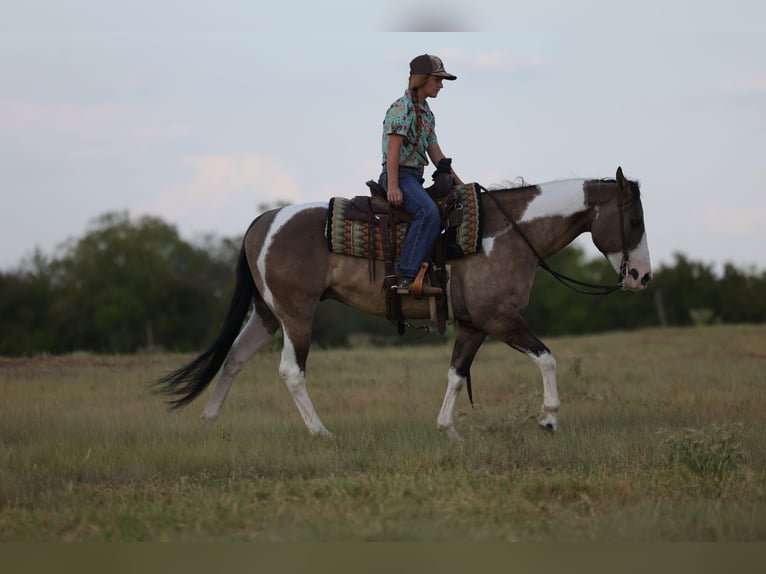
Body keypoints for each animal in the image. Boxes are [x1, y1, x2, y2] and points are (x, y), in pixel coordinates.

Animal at [157, 166, 652, 440]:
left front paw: (448, 431)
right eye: (633, 220)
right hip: (296, 312)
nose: (642, 276)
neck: (506, 234)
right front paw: (548, 421)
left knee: (233, 360)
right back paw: (321, 433)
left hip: (266, 313)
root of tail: (264, 220)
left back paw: (208, 422)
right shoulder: (500, 319)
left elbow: (456, 374)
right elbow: (547, 358)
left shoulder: (474, 325)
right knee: (291, 372)